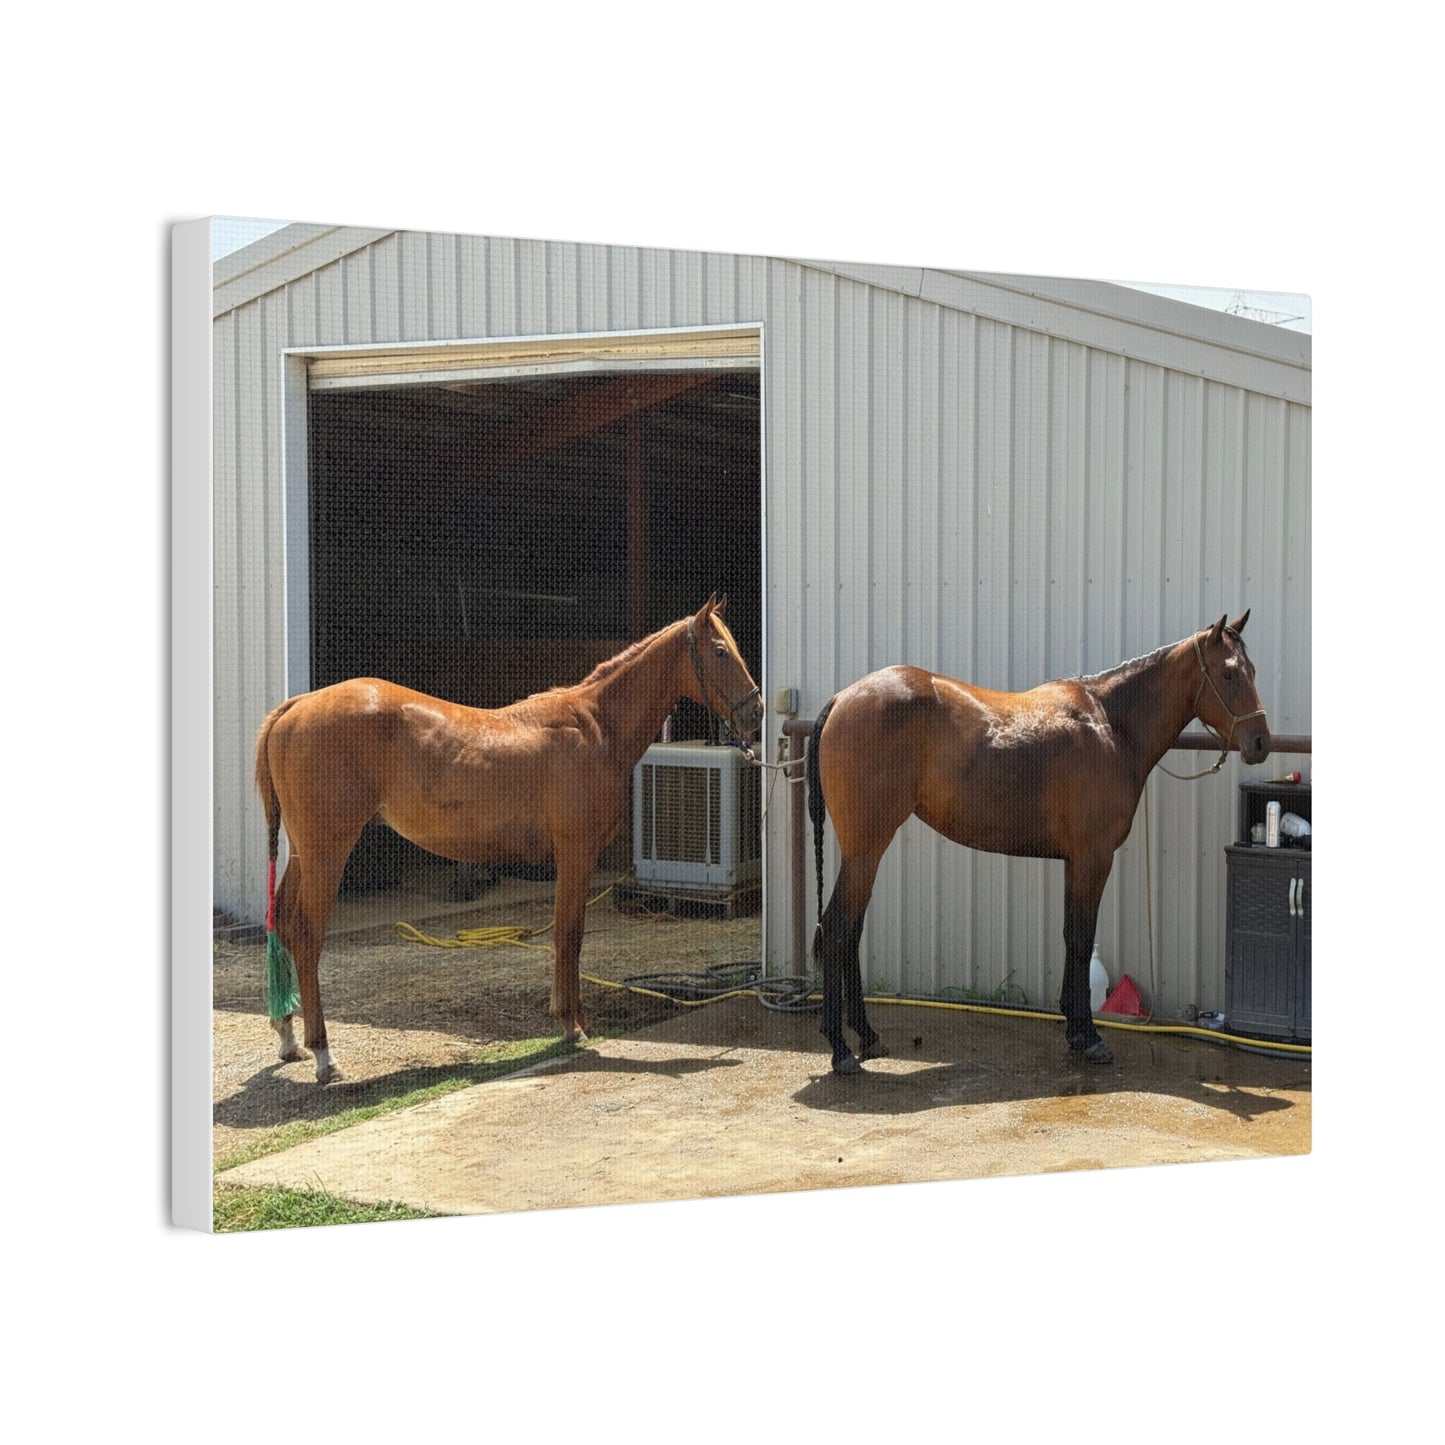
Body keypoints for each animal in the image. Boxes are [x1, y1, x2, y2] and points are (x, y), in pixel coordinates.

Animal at [254, 596, 763, 1083]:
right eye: (721, 651)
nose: (756, 713)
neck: (596, 727)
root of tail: (296, 706)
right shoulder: (576, 853)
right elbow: (569, 933)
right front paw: (571, 1025)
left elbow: (570, 934)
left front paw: (574, 1019)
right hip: (327, 850)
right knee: (307, 935)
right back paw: (325, 1056)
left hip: (304, 852)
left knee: (283, 924)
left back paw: (288, 1039)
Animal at [806, 613, 1270, 1074]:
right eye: (1229, 673)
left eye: (1253, 670)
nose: (1261, 743)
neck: (1111, 724)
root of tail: (842, 699)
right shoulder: (1093, 858)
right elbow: (1081, 938)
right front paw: (1089, 1037)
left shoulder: (1075, 861)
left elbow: (1069, 934)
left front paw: (1074, 1029)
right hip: (867, 848)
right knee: (837, 927)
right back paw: (841, 1049)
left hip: (864, 851)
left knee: (851, 931)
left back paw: (867, 1036)